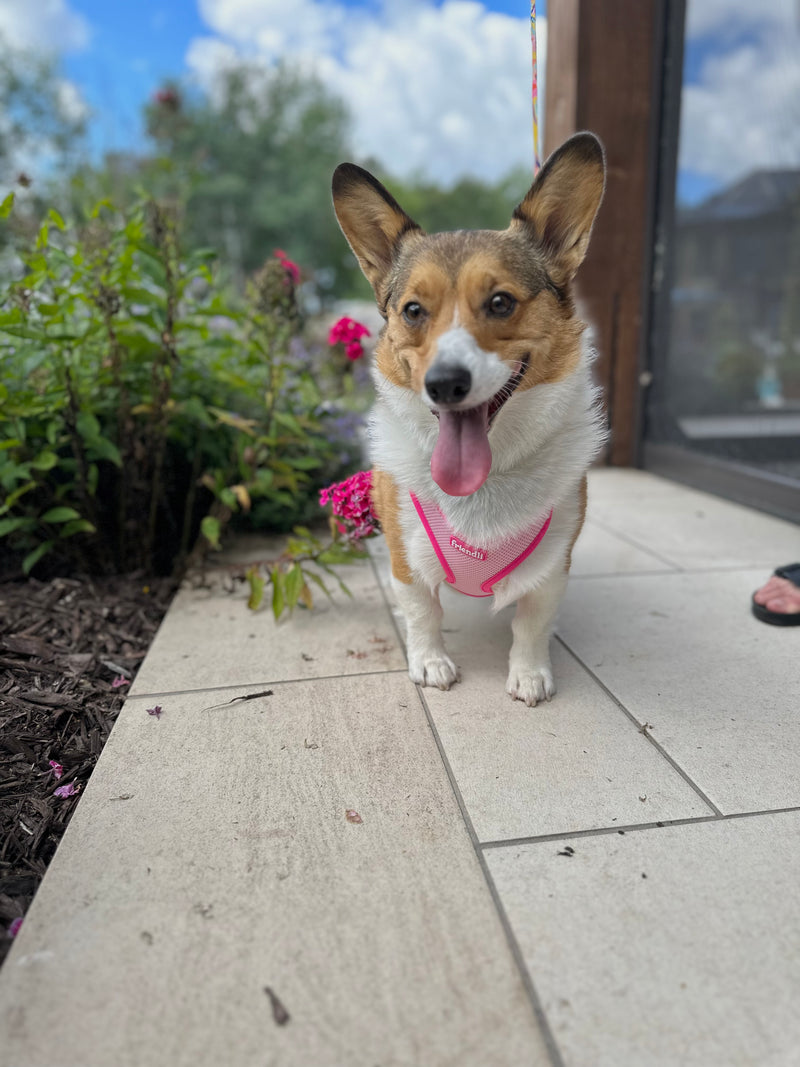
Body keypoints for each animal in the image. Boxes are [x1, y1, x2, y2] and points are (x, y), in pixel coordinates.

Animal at [332, 133, 605, 704]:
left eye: (500, 302)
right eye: (413, 311)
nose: (444, 384)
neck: (486, 480)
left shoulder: (553, 565)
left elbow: (532, 622)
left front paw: (529, 673)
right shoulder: (406, 556)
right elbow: (422, 612)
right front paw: (430, 662)